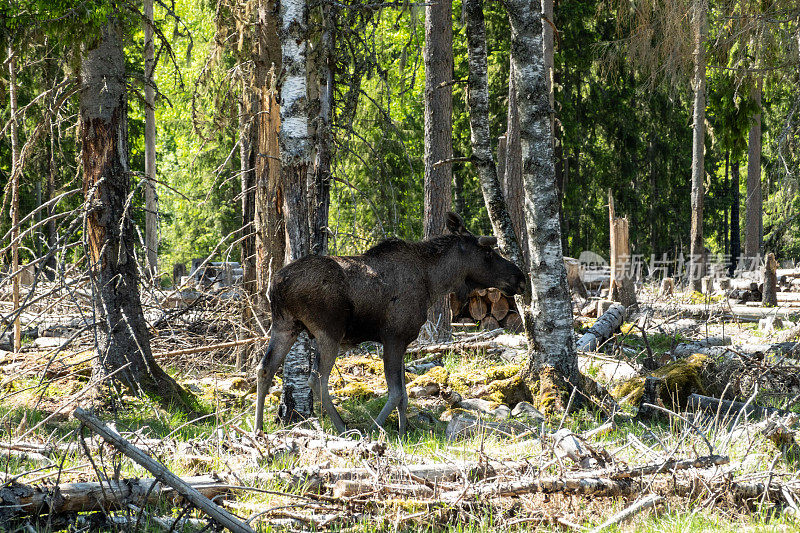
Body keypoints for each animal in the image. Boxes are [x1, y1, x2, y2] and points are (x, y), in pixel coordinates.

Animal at [252, 210, 524, 434]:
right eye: (487, 252)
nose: (520, 279)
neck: (433, 283)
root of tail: (276, 286)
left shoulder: (403, 341)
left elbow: (403, 394)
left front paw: (404, 432)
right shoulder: (394, 336)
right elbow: (395, 393)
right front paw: (377, 429)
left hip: (285, 325)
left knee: (265, 368)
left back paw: (259, 428)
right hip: (328, 331)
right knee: (317, 380)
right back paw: (343, 428)